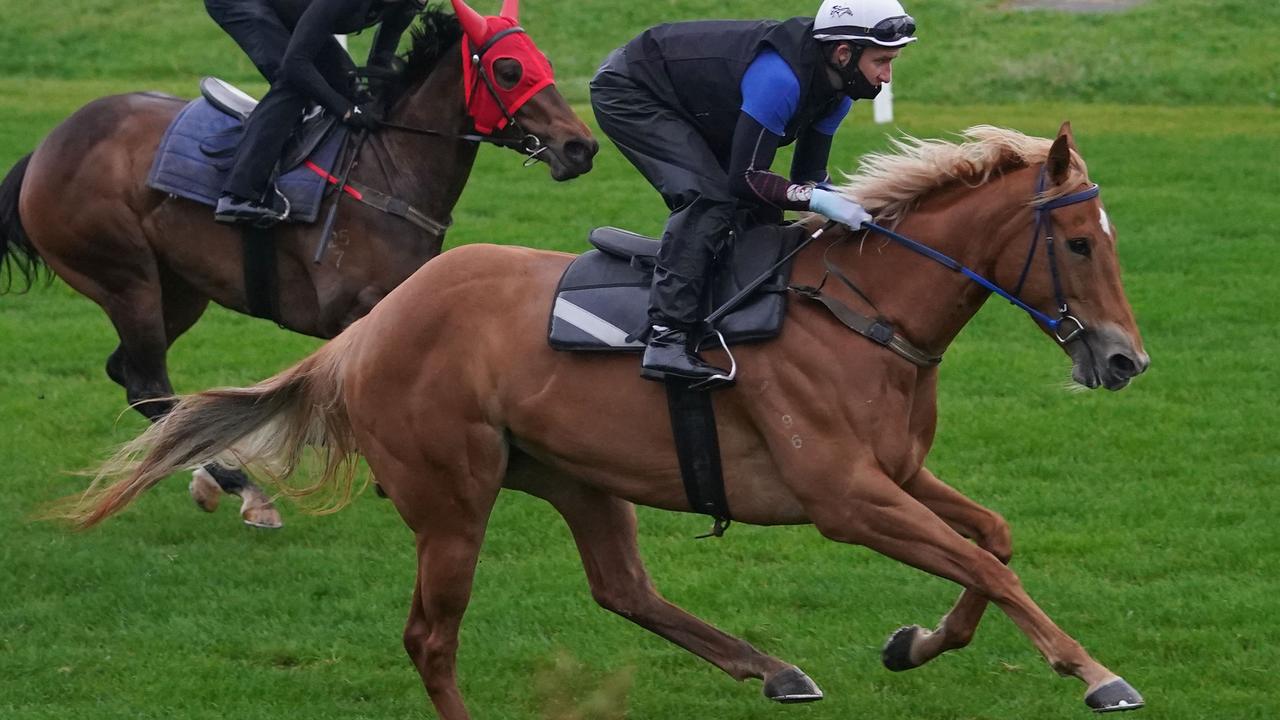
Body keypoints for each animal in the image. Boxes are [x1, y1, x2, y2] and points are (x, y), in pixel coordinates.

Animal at [0, 1, 599, 527]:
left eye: (542, 61)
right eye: (508, 69)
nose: (581, 147)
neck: (389, 170)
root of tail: (45, 148)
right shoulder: (355, 313)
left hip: (180, 289)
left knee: (132, 376)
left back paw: (205, 474)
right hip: (127, 279)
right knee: (147, 381)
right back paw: (244, 488)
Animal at [62, 122, 1152, 712]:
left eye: (1109, 237)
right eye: (1076, 242)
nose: (1122, 359)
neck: (864, 310)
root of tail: (364, 334)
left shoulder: (898, 474)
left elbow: (990, 543)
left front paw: (917, 642)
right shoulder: (844, 498)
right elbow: (982, 563)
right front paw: (1093, 671)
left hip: (576, 476)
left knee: (623, 589)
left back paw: (771, 668)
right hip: (453, 498)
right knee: (430, 637)